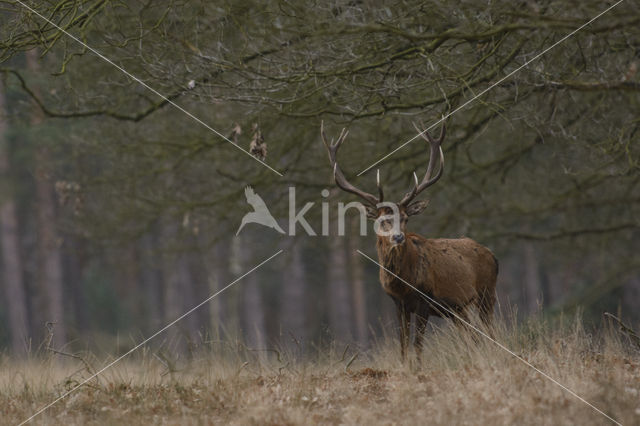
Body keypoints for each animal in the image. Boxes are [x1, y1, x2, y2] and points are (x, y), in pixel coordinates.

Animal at [320, 120, 500, 360]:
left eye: (405, 218)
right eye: (383, 220)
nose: (398, 236)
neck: (402, 283)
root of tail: (493, 256)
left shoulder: (424, 301)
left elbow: (418, 345)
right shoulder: (399, 304)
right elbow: (403, 346)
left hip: (486, 293)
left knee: (491, 333)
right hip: (457, 309)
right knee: (474, 337)